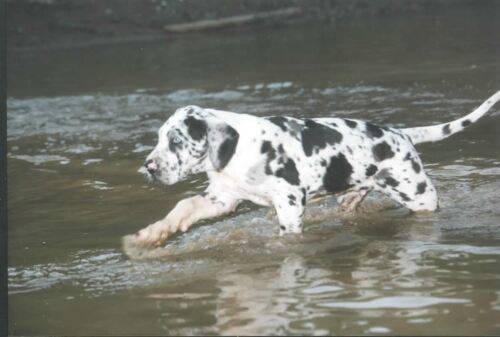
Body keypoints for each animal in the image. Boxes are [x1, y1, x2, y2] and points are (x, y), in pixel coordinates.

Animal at [122, 90, 500, 248]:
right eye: (159, 138)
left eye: (176, 139)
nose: (149, 167)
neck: (240, 151)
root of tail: (402, 134)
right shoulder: (223, 198)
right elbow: (182, 207)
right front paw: (150, 236)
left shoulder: (289, 199)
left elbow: (287, 234)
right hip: (354, 194)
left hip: (420, 197)